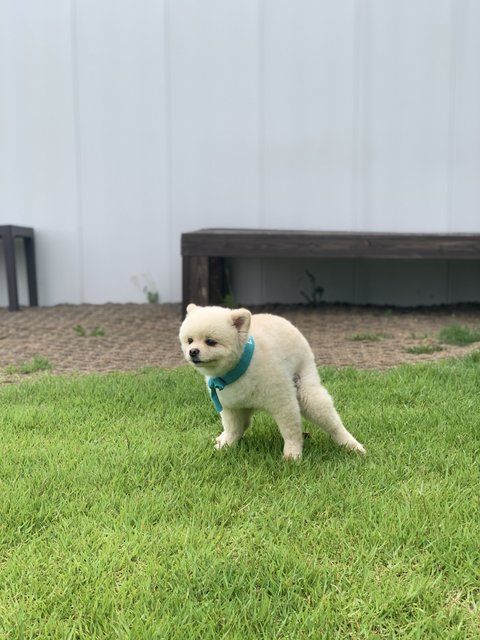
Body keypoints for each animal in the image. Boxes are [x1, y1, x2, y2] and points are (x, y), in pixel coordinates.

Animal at [179, 304, 366, 460]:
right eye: (189, 340)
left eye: (210, 341)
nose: (193, 351)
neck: (241, 367)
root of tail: (287, 323)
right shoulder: (231, 406)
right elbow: (232, 428)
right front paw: (225, 445)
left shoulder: (282, 401)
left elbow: (291, 431)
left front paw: (292, 454)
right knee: (244, 424)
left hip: (307, 392)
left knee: (333, 423)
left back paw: (352, 445)